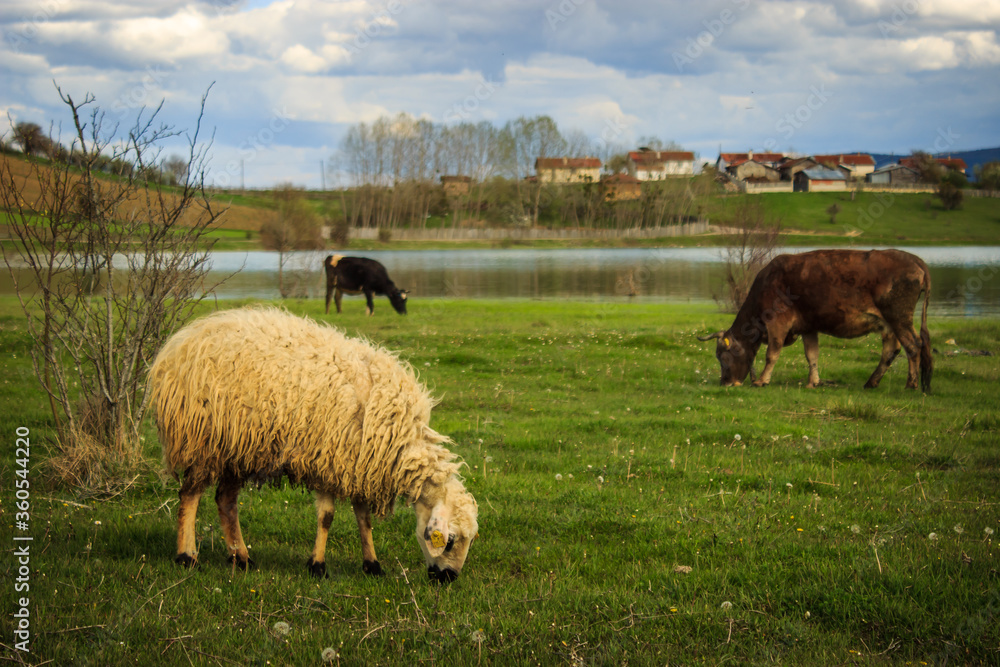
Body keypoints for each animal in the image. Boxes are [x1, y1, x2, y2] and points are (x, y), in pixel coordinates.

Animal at [148, 306, 478, 582]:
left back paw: (240, 557)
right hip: (203, 440)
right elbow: (327, 517)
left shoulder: (357, 464)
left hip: (239, 448)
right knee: (190, 496)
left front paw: (372, 564)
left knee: (225, 501)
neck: (401, 440)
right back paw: (187, 556)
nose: (448, 578)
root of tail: (178, 344)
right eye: (449, 541)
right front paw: (318, 565)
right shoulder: (328, 458)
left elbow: (364, 518)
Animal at [699, 249, 932, 392]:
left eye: (721, 355)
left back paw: (911, 384)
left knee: (913, 346)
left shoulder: (777, 323)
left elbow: (772, 354)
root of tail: (914, 259)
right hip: (889, 323)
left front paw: (761, 380)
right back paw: (871, 382)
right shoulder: (808, 326)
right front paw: (813, 382)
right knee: (891, 351)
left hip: (899, 317)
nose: (725, 382)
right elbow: (812, 355)